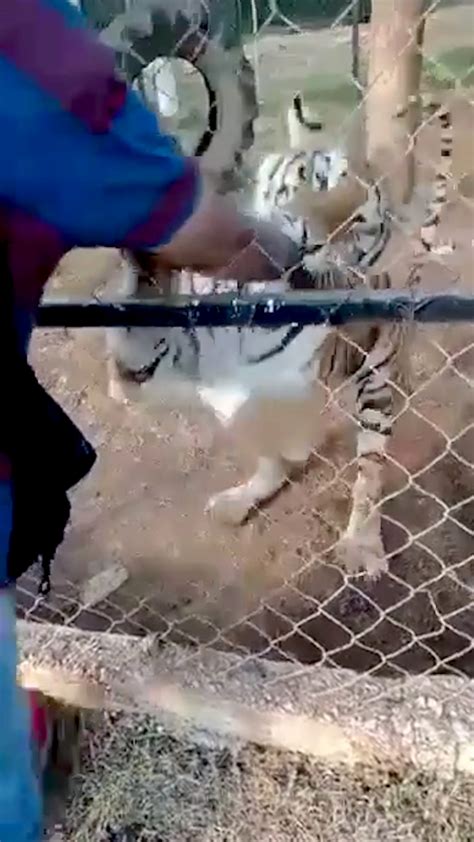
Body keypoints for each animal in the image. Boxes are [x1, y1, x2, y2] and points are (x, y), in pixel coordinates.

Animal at [105, 93, 453, 578]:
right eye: (315, 180)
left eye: (357, 222)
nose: (312, 241)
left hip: (377, 377)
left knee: (368, 466)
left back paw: (361, 543)